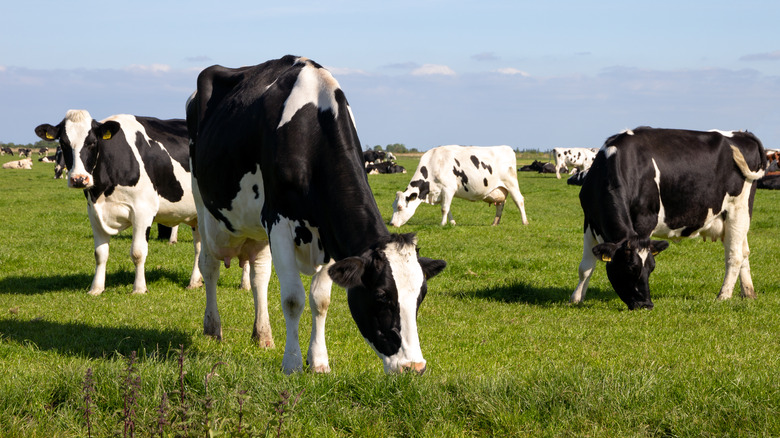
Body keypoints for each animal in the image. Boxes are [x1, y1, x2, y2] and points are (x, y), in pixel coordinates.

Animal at [34, 109, 204, 296]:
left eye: (92, 142)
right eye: (63, 143)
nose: (79, 179)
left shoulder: (143, 211)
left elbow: (138, 252)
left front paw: (139, 289)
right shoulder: (94, 213)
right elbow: (100, 254)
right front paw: (96, 289)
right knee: (199, 247)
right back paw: (194, 282)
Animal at [186, 56, 448, 374]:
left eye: (421, 296)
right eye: (381, 297)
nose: (414, 366)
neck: (310, 132)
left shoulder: (330, 232)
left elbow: (320, 300)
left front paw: (319, 361)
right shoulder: (278, 223)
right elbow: (292, 299)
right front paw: (292, 363)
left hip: (256, 227)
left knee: (259, 275)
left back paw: (262, 334)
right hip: (204, 205)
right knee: (209, 265)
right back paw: (213, 327)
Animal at [390, 146, 532, 228]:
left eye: (400, 207)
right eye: (393, 206)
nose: (391, 224)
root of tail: (507, 147)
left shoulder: (448, 188)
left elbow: (444, 209)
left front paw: (442, 224)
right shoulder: (442, 192)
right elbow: (448, 208)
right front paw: (452, 223)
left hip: (511, 183)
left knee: (519, 200)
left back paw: (525, 222)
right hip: (499, 189)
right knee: (500, 205)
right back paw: (495, 223)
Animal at [568, 127, 764, 312]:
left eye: (651, 268)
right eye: (630, 268)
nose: (646, 305)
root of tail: (742, 134)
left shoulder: (645, 220)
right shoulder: (589, 221)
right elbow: (585, 267)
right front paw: (576, 299)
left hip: (738, 210)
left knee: (734, 255)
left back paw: (723, 296)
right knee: (744, 252)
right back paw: (748, 293)